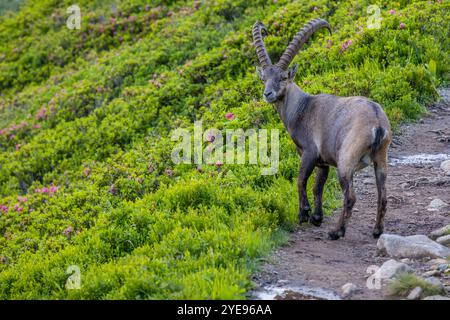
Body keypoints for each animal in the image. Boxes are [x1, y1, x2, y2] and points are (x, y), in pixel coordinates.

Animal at [253, 19, 390, 240]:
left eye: (283, 77)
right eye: (264, 78)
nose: (268, 94)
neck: (302, 108)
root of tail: (377, 122)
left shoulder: (309, 152)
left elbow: (301, 180)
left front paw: (304, 213)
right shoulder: (323, 161)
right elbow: (318, 186)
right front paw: (317, 217)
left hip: (346, 161)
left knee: (350, 197)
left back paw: (337, 231)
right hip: (381, 159)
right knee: (383, 194)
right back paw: (377, 230)